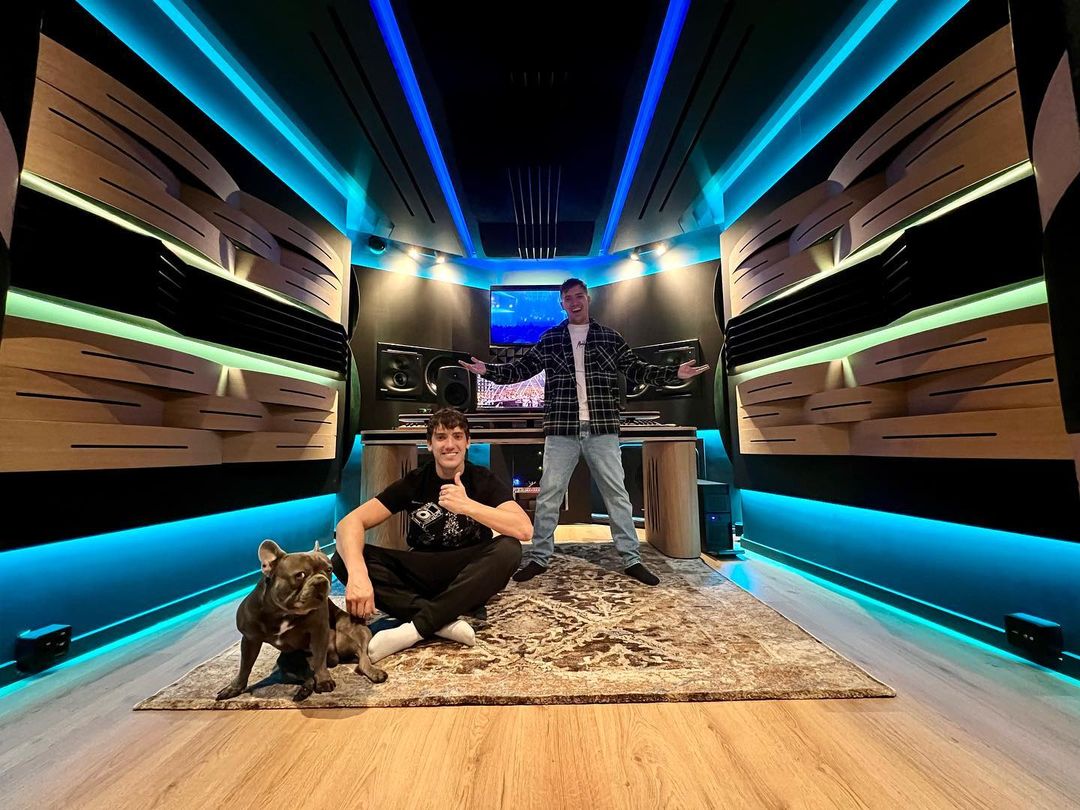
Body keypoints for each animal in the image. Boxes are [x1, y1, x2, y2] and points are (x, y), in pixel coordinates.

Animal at [216, 539, 387, 701]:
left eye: (329, 570)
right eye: (300, 575)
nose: (321, 580)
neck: (284, 612)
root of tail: (335, 659)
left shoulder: (319, 631)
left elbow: (319, 658)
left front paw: (324, 680)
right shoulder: (250, 640)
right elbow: (245, 666)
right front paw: (235, 688)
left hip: (360, 634)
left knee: (362, 658)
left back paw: (374, 672)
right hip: (286, 664)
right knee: (308, 677)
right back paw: (303, 691)